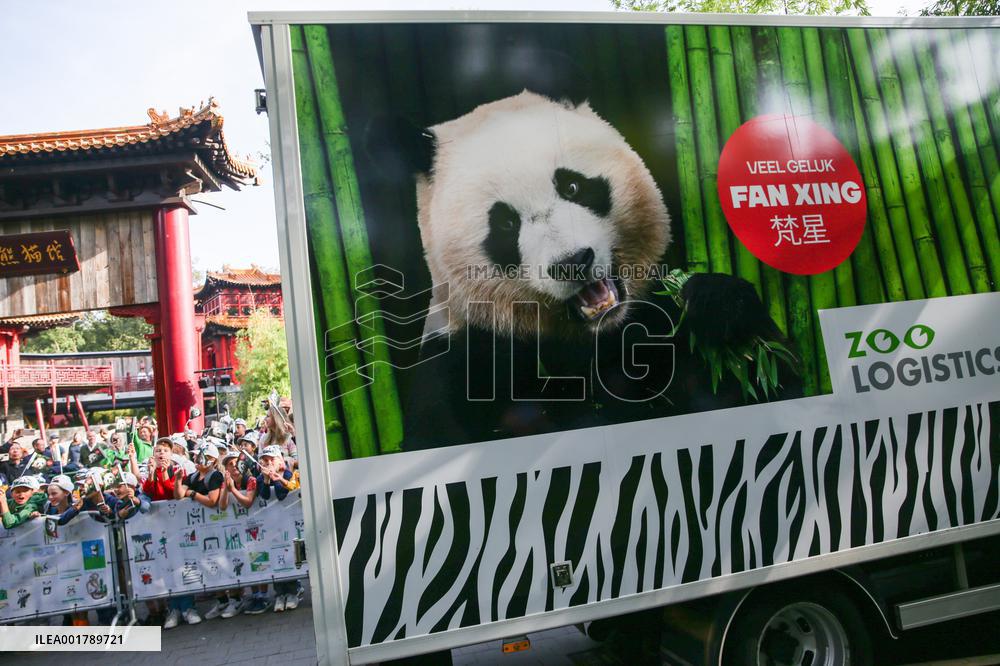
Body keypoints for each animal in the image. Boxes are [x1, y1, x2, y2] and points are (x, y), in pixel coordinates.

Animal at [372, 90, 798, 451]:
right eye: (505, 223)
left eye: (572, 186)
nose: (572, 263)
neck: (595, 337)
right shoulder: (465, 362)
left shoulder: (657, 324)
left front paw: (718, 308)